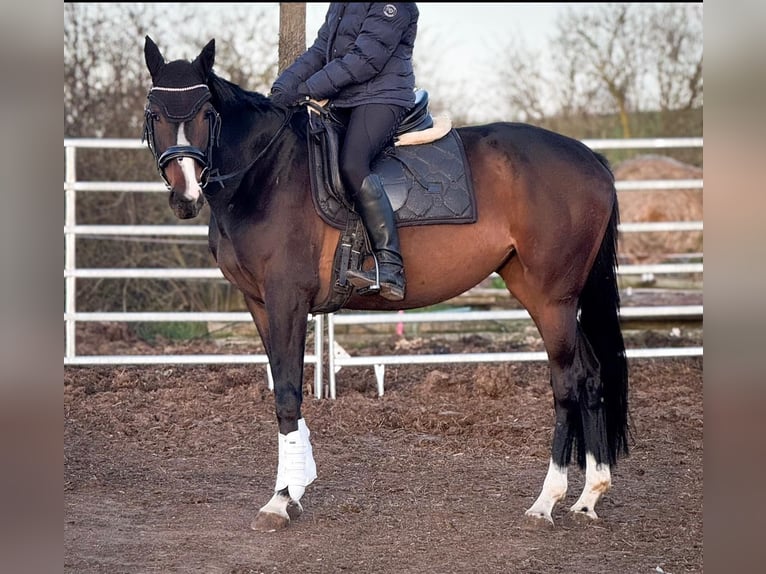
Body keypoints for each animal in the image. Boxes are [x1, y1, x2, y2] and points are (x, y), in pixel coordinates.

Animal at [141, 36, 629, 532]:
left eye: (206, 113)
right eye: (155, 113)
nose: (185, 195)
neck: (267, 173)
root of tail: (591, 159)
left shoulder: (286, 301)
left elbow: (288, 394)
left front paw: (280, 500)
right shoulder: (259, 303)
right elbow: (283, 387)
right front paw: (296, 486)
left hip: (553, 299)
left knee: (566, 383)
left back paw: (547, 501)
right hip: (544, 294)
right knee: (591, 374)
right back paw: (589, 495)